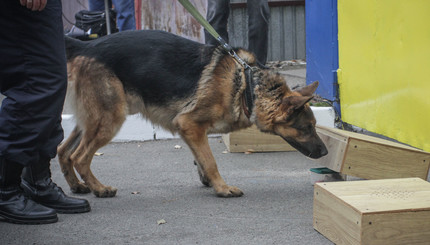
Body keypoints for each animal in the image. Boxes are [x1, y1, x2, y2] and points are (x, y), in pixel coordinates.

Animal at [60, 30, 328, 198]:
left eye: (314, 126)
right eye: (306, 128)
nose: (325, 152)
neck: (246, 86)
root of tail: (86, 45)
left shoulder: (190, 130)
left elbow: (200, 157)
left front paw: (208, 180)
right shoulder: (190, 124)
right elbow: (210, 160)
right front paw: (222, 188)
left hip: (91, 121)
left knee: (63, 151)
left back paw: (77, 186)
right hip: (109, 121)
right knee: (79, 157)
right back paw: (99, 189)